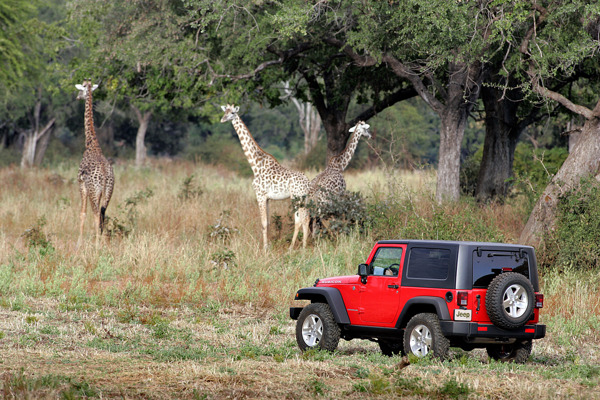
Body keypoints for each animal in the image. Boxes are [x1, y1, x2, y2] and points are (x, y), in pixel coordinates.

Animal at [221, 104, 312, 252]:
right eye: (225, 111)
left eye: (233, 112)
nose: (222, 119)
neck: (255, 165)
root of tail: (308, 184)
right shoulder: (267, 198)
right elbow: (268, 222)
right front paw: (268, 246)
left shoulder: (260, 195)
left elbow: (263, 223)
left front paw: (264, 249)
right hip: (305, 198)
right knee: (306, 218)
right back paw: (303, 247)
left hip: (296, 197)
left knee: (299, 220)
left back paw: (292, 248)